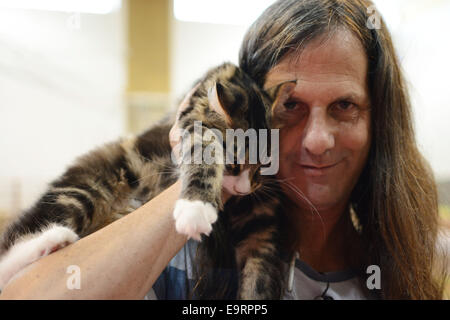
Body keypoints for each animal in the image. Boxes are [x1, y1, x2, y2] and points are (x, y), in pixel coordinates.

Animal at [0, 63, 296, 300]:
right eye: (233, 165)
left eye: (265, 166)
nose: (246, 188)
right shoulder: (192, 121)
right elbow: (203, 154)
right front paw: (196, 208)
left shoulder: (261, 229)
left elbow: (259, 281)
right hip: (82, 192)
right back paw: (52, 239)